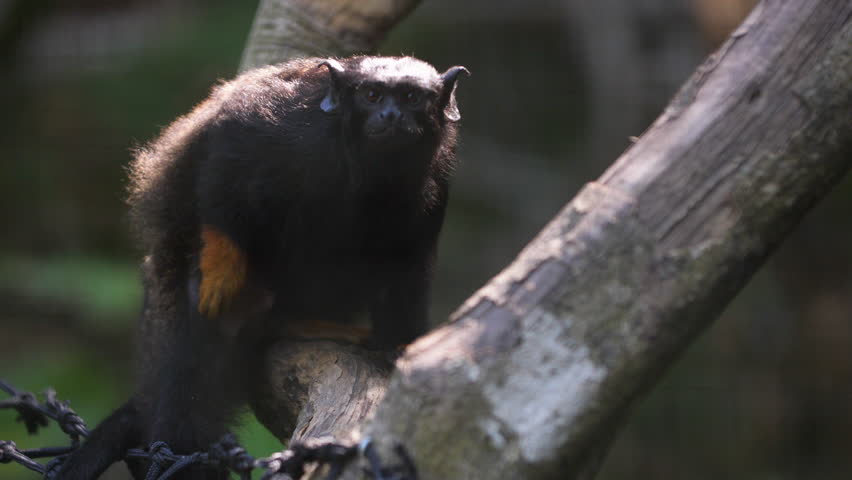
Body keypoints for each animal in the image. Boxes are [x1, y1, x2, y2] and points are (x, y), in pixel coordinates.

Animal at [56, 57, 470, 480]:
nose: (390, 115)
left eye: (411, 97)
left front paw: (399, 345)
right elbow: (230, 152)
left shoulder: (435, 178)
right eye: (372, 95)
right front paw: (222, 261)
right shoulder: (289, 131)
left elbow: (408, 265)